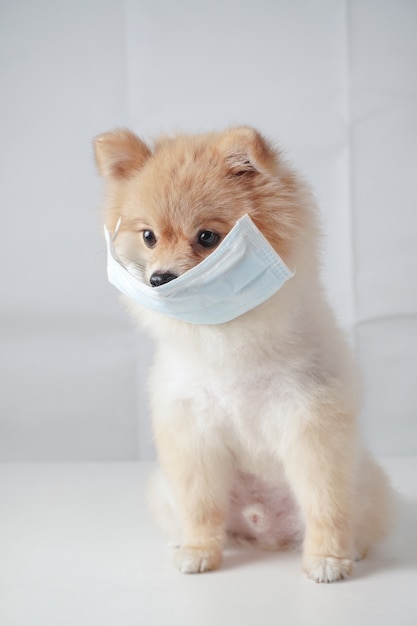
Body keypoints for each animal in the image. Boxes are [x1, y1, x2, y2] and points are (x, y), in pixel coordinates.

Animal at [94, 125, 394, 580]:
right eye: (148, 237)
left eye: (207, 237)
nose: (159, 278)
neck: (227, 336)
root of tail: (263, 530)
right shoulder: (193, 432)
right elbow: (200, 505)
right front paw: (199, 550)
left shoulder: (312, 428)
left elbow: (326, 502)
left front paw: (328, 559)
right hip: (164, 489)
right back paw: (186, 539)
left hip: (369, 481)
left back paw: (353, 549)